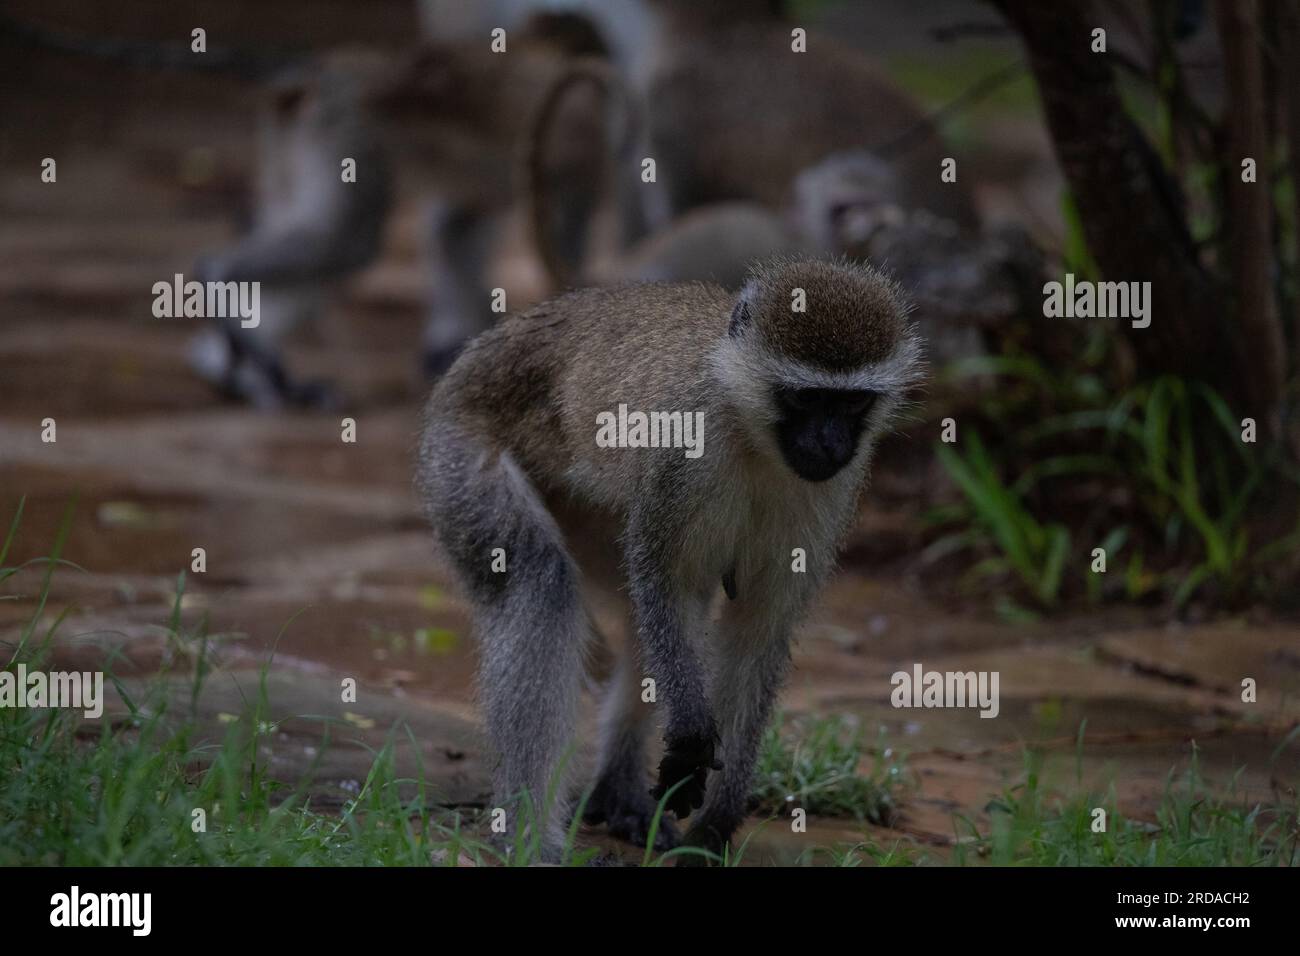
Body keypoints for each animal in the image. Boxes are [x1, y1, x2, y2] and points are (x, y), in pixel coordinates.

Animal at [414, 257, 924, 862]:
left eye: (852, 403)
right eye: (804, 399)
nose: (830, 443)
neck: (751, 431)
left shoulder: (834, 488)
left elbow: (758, 628)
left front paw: (717, 822)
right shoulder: (684, 452)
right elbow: (664, 580)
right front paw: (690, 733)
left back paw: (618, 791)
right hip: (459, 454)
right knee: (542, 582)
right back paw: (530, 837)